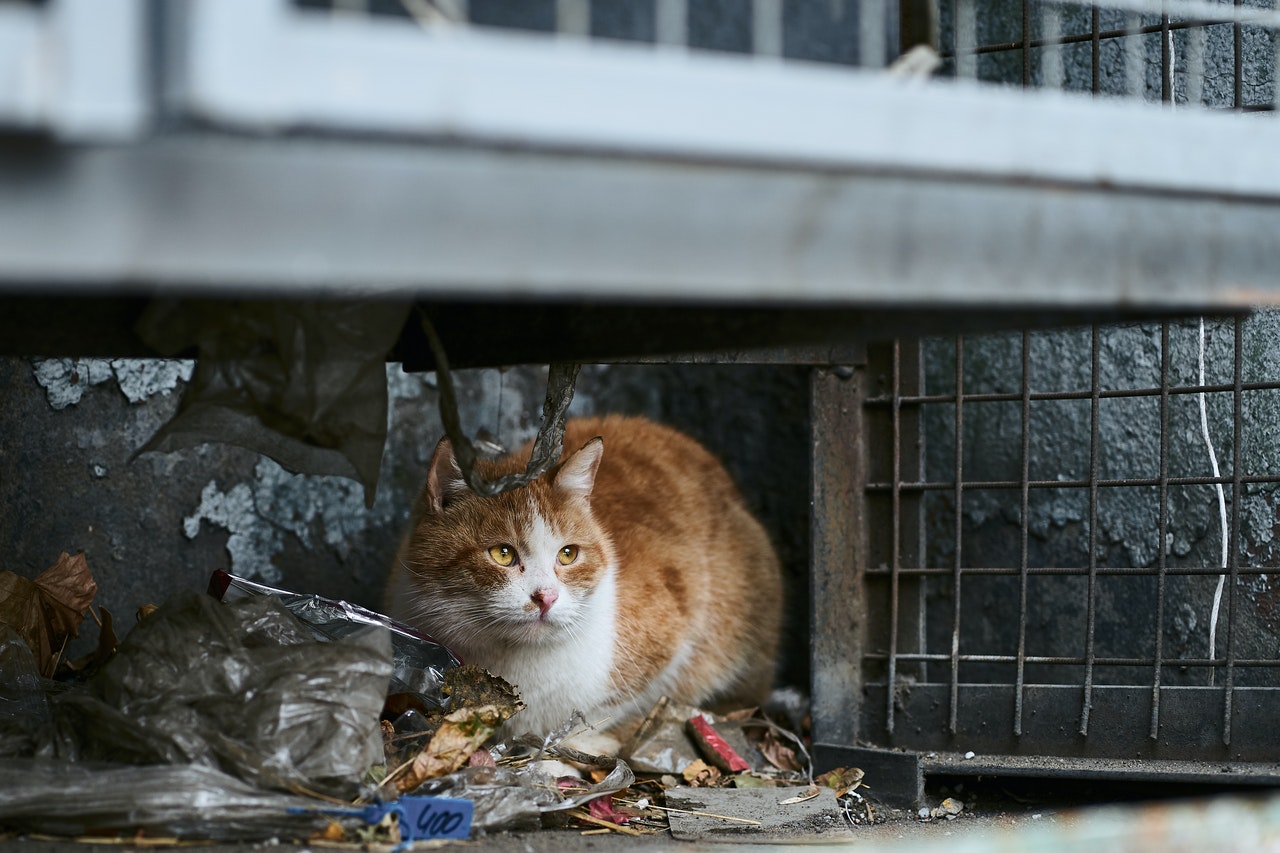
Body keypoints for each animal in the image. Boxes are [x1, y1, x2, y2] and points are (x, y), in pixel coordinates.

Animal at [381, 412, 778, 753]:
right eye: (503, 554)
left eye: (568, 554)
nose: (546, 597)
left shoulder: (672, 624)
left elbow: (606, 709)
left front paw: (570, 748)